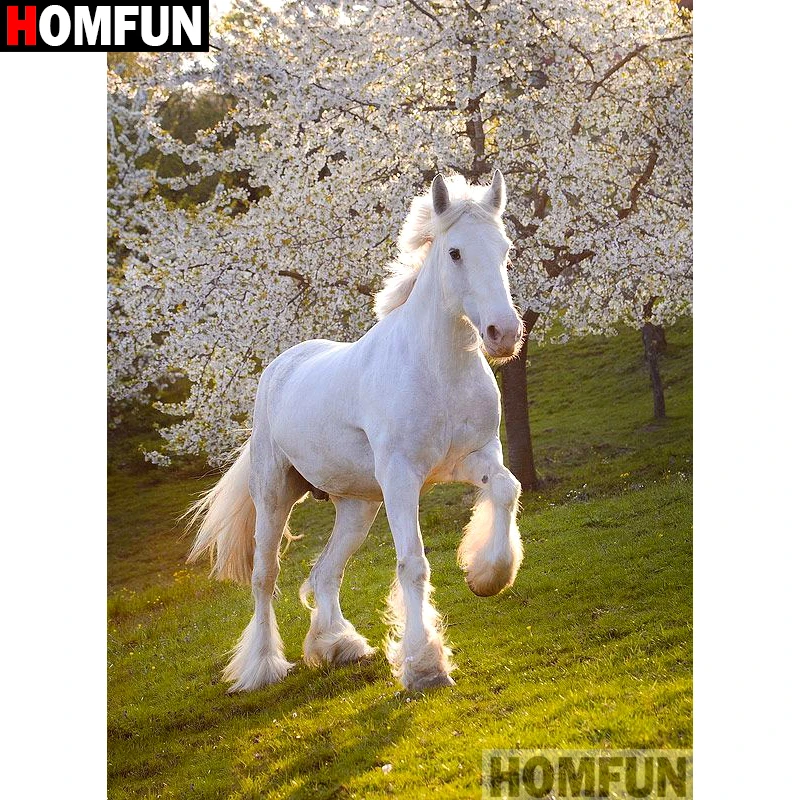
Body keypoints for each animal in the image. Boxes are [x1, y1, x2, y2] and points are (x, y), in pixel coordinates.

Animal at [187, 170, 525, 692]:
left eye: (505, 247)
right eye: (455, 252)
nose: (503, 334)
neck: (439, 367)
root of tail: (280, 367)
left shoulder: (474, 457)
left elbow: (508, 489)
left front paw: (486, 576)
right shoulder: (403, 477)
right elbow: (412, 564)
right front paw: (424, 666)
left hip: (357, 505)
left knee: (324, 572)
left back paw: (338, 646)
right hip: (274, 494)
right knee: (265, 577)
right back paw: (262, 667)